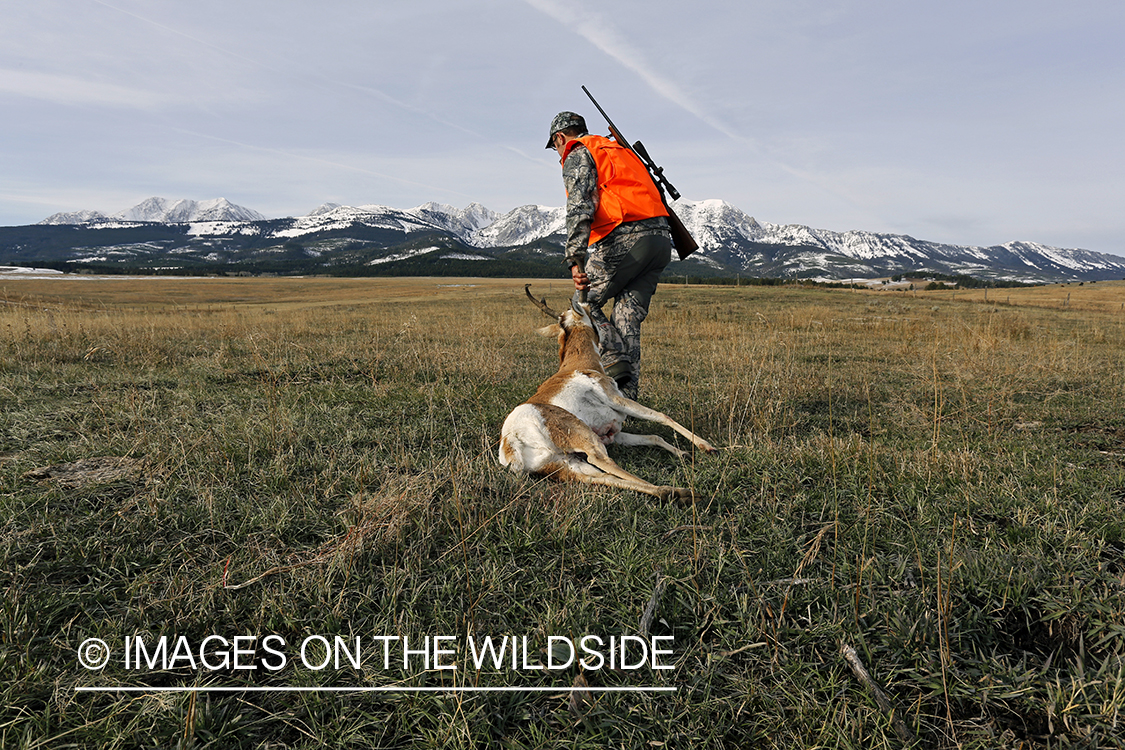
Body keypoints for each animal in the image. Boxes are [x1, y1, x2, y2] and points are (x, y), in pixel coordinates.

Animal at [499, 284, 715, 501]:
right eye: (592, 315)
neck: (579, 364)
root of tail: (510, 440)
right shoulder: (617, 400)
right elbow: (662, 416)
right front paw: (707, 447)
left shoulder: (615, 435)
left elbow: (654, 437)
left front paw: (684, 454)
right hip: (583, 437)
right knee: (603, 462)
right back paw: (682, 493)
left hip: (566, 463)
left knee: (602, 477)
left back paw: (675, 492)